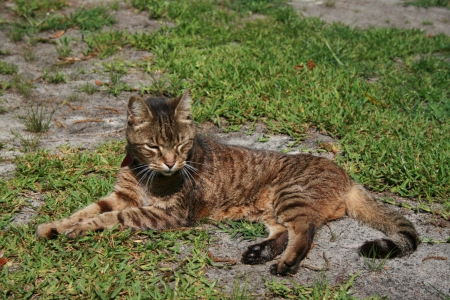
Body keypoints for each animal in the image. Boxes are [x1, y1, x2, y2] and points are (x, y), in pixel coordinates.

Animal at [37, 90, 420, 276]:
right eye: (154, 147)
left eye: (181, 144)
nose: (172, 162)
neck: (146, 174)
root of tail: (348, 176)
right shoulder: (120, 196)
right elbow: (86, 210)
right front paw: (54, 226)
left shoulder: (167, 214)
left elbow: (108, 218)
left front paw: (76, 230)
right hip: (270, 210)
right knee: (284, 233)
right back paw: (259, 252)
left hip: (290, 195)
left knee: (305, 231)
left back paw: (286, 264)